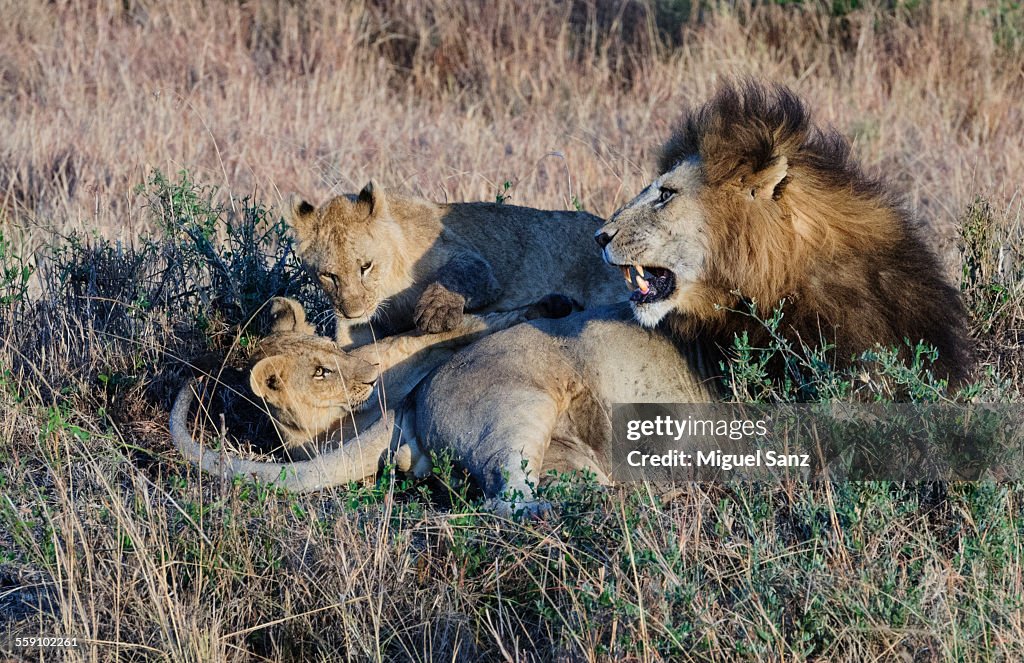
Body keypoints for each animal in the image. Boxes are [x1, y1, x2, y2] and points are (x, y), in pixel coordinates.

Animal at [290, 182, 622, 344]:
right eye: (328, 275)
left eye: (365, 266)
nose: (354, 311)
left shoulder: (472, 261)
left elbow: (458, 275)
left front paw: (436, 311)